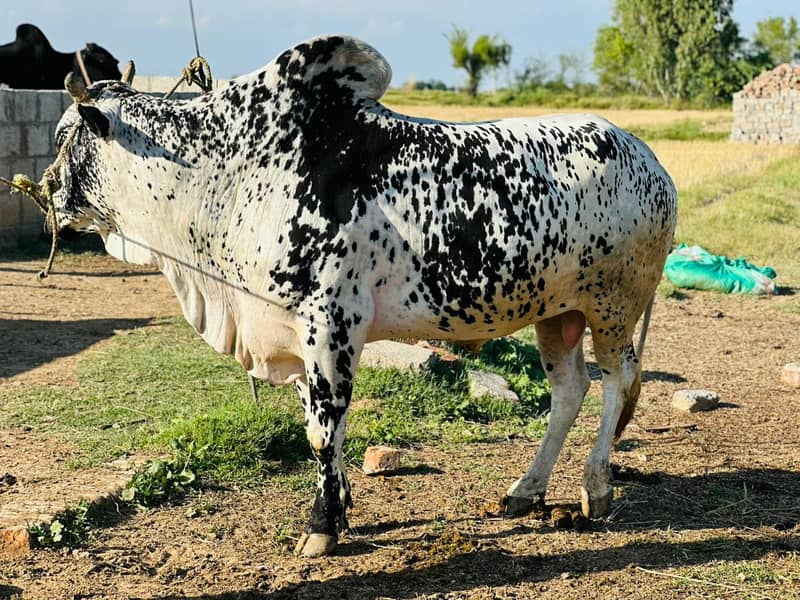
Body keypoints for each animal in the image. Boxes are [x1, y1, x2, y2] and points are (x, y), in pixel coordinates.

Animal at [48, 35, 677, 557]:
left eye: (63, 136)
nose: (48, 190)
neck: (229, 173)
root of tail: (649, 158)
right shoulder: (296, 333)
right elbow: (319, 425)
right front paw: (343, 506)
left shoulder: (330, 323)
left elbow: (324, 428)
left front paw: (322, 527)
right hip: (556, 312)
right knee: (569, 389)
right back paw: (526, 490)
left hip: (613, 307)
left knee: (617, 381)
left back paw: (596, 486)